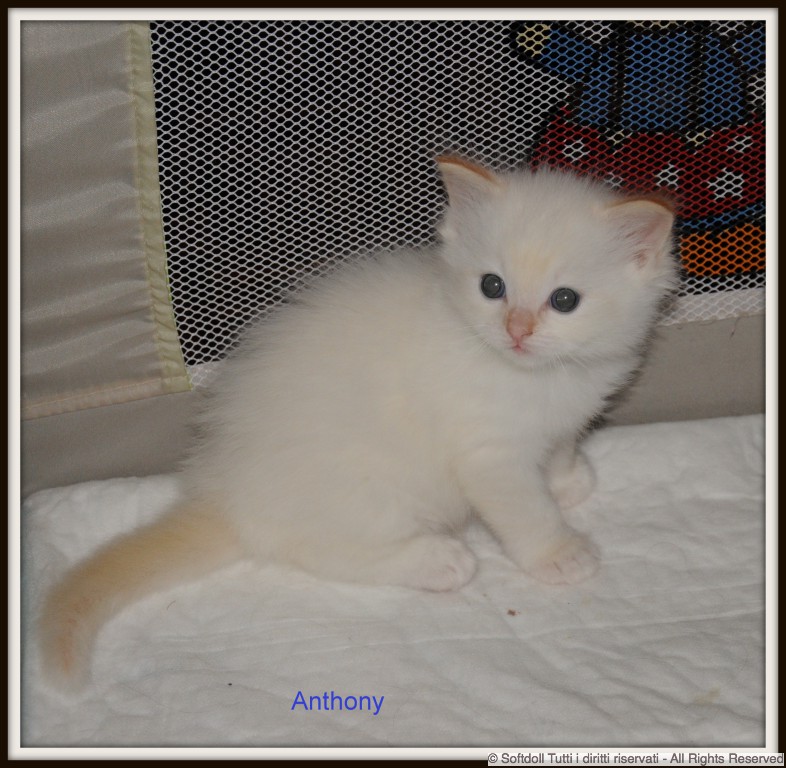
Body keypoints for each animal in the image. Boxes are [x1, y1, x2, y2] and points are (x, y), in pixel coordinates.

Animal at [38, 156, 678, 691]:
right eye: (492, 287)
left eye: (564, 300)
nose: (517, 329)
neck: (535, 376)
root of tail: (226, 489)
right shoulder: (489, 455)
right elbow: (524, 510)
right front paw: (559, 553)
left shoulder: (567, 411)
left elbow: (562, 444)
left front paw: (570, 481)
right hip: (370, 488)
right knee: (316, 547)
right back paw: (438, 560)